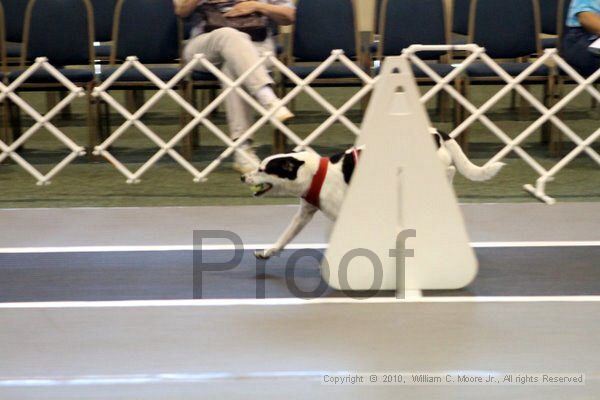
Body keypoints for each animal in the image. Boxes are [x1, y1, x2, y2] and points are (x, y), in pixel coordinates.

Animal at [241, 128, 504, 260]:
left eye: (263, 169)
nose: (243, 178)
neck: (315, 173)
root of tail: (438, 134)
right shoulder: (303, 215)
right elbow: (284, 237)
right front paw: (268, 252)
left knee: (449, 170)